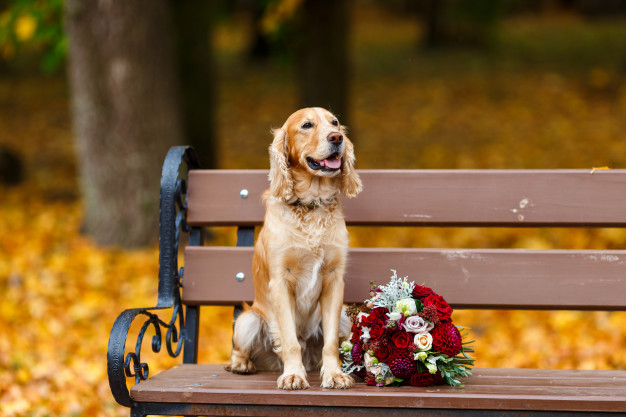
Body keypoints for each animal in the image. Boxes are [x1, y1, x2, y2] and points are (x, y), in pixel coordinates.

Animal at [228, 106, 360, 386]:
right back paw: (242, 364)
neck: (310, 204)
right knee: (240, 348)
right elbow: (289, 340)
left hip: (345, 316)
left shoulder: (333, 280)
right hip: (248, 319)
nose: (336, 138)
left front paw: (334, 374)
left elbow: (331, 343)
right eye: (307, 125)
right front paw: (293, 375)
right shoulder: (280, 282)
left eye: (335, 122)